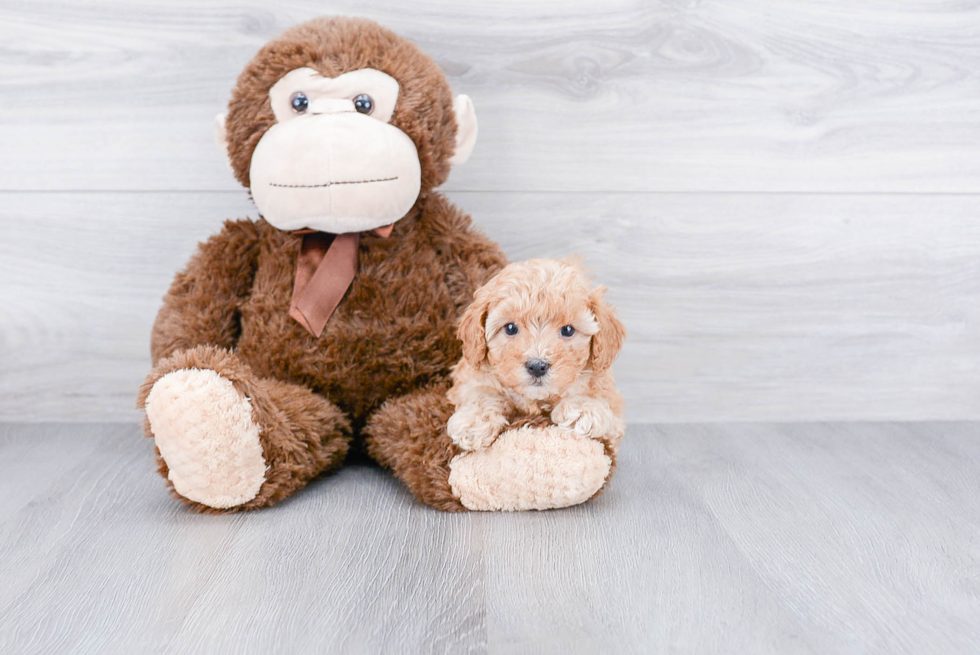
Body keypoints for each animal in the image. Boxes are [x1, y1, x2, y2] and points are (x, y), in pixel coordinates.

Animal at [446, 258, 624, 454]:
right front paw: (474, 421)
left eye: (568, 330)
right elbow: (480, 392)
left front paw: (583, 409)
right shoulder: (468, 376)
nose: (537, 366)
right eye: (510, 328)